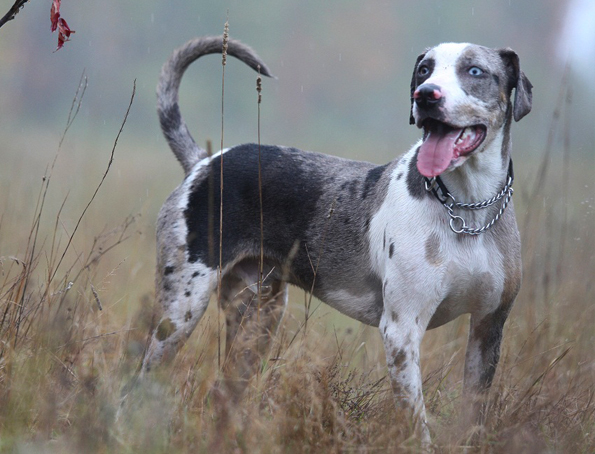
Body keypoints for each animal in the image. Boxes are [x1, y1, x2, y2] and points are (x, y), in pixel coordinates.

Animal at [140, 36, 532, 444]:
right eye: (425, 70)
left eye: (475, 71)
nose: (426, 95)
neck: (467, 213)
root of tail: (204, 162)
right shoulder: (402, 332)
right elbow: (416, 423)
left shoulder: (489, 327)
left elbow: (474, 417)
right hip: (179, 315)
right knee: (139, 383)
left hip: (258, 318)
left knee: (223, 393)